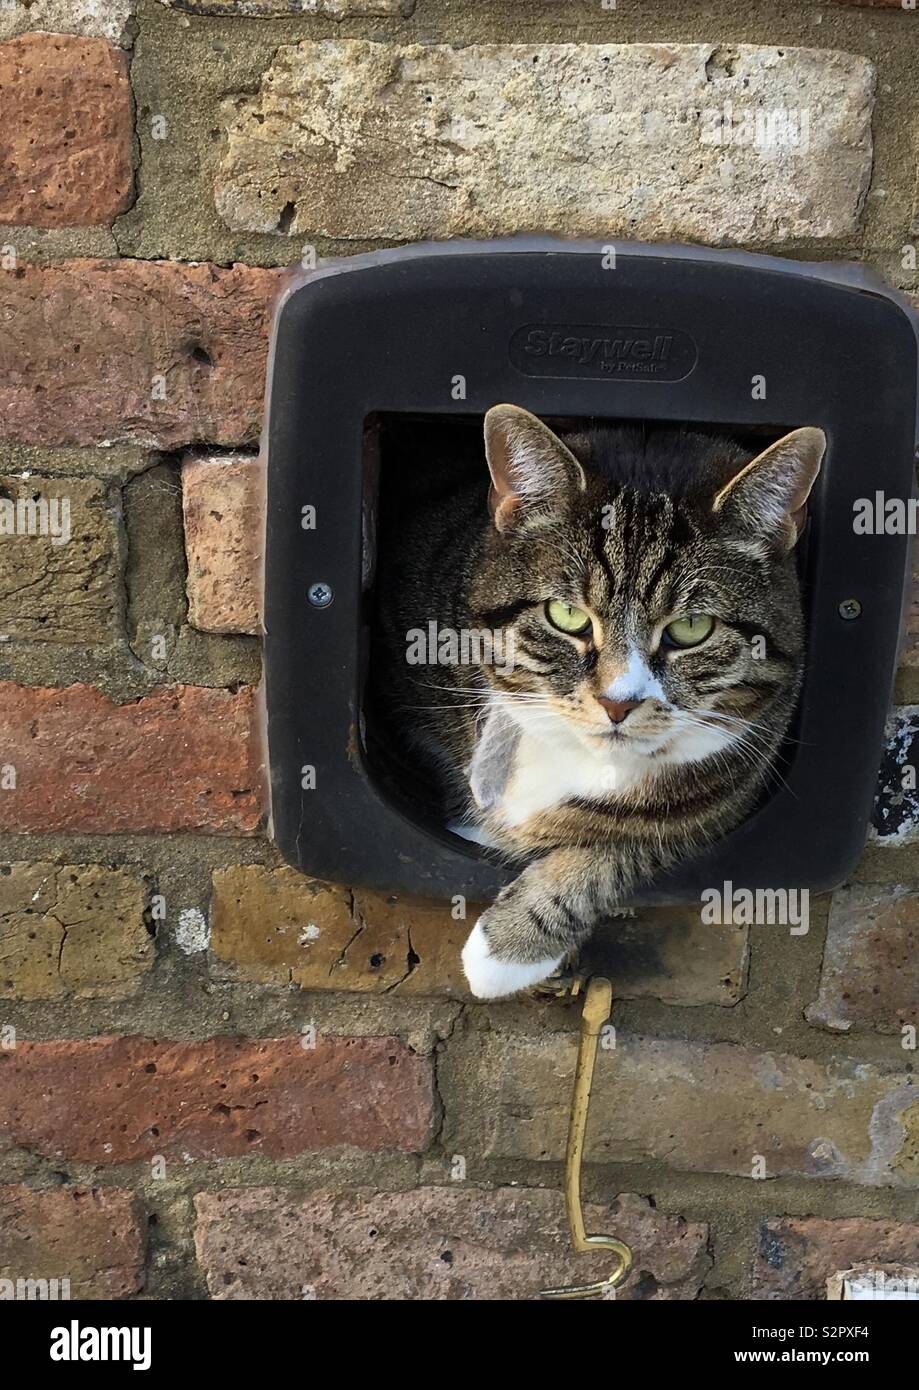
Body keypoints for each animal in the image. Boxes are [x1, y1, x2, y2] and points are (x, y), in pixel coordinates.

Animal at [367, 403, 823, 1000]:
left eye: (691, 629)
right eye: (567, 617)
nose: (617, 703)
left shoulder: (729, 792)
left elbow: (624, 845)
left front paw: (506, 948)